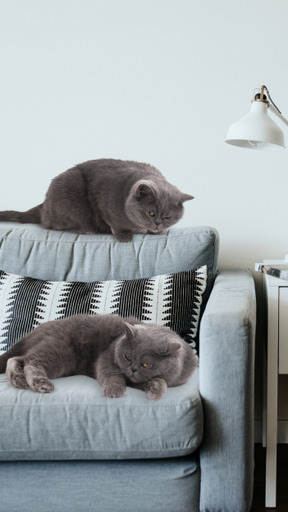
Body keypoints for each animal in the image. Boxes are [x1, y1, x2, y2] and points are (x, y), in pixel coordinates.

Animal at [0, 158, 195, 242]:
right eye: (151, 213)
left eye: (168, 217)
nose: (157, 223)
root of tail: (44, 205)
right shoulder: (105, 202)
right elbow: (115, 223)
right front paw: (124, 236)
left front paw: (159, 232)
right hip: (70, 194)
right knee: (53, 224)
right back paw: (87, 230)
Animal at [0, 314, 197, 402]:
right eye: (127, 356)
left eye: (146, 364)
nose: (132, 369)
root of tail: (35, 331)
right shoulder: (107, 357)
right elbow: (112, 374)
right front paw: (114, 390)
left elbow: (159, 381)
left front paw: (156, 390)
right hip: (59, 352)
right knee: (30, 361)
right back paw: (40, 384)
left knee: (17, 358)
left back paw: (18, 379)